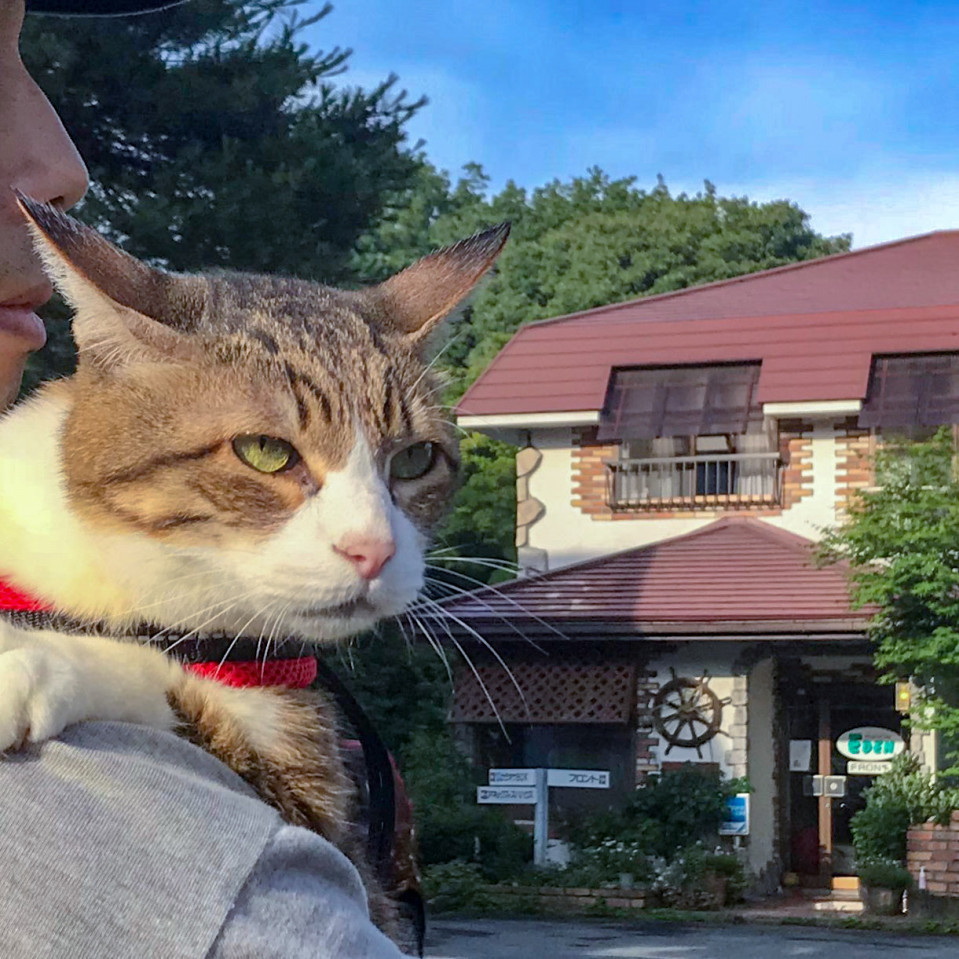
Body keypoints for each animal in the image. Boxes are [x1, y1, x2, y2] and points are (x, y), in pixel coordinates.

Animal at [0, 189, 510, 916]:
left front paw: (37, 657)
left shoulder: (318, 808)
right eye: (265, 451)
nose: (374, 549)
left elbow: (170, 683)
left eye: (415, 460)